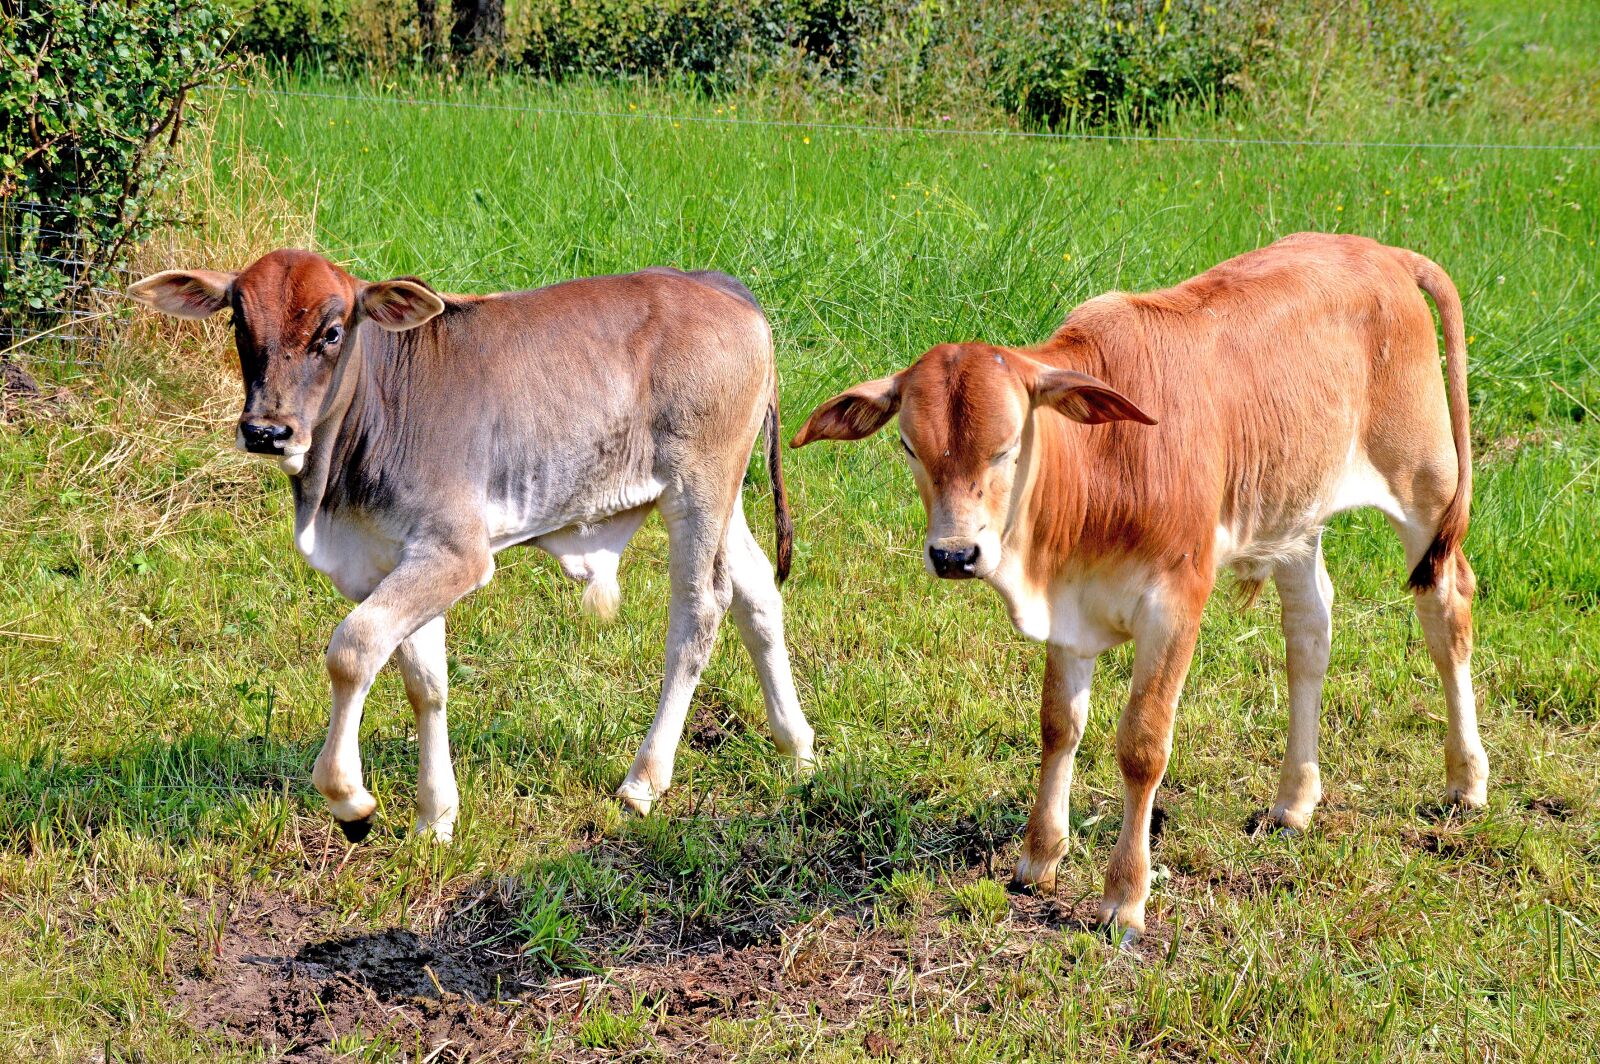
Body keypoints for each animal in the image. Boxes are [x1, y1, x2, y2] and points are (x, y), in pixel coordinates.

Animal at [128, 250, 815, 842]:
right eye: (238, 321)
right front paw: (436, 817)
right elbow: (424, 682)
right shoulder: (395, 559)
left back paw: (644, 780)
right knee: (757, 592)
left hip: (698, 488)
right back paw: (798, 748)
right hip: (723, 496)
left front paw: (350, 799)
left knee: (700, 611)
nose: (266, 431)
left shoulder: (455, 553)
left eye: (332, 330)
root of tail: (715, 284)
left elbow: (352, 649)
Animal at [791, 233, 1486, 942]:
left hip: (1424, 482)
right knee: (1309, 633)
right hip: (1295, 511)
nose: (955, 553)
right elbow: (1058, 724)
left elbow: (1142, 746)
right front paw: (1039, 856)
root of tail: (1383, 250)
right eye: (908, 445)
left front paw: (1124, 896)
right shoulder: (1069, 609)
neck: (1100, 466)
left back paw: (1465, 782)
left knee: (1447, 609)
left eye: (1007, 447)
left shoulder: (1177, 600)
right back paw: (1293, 801)